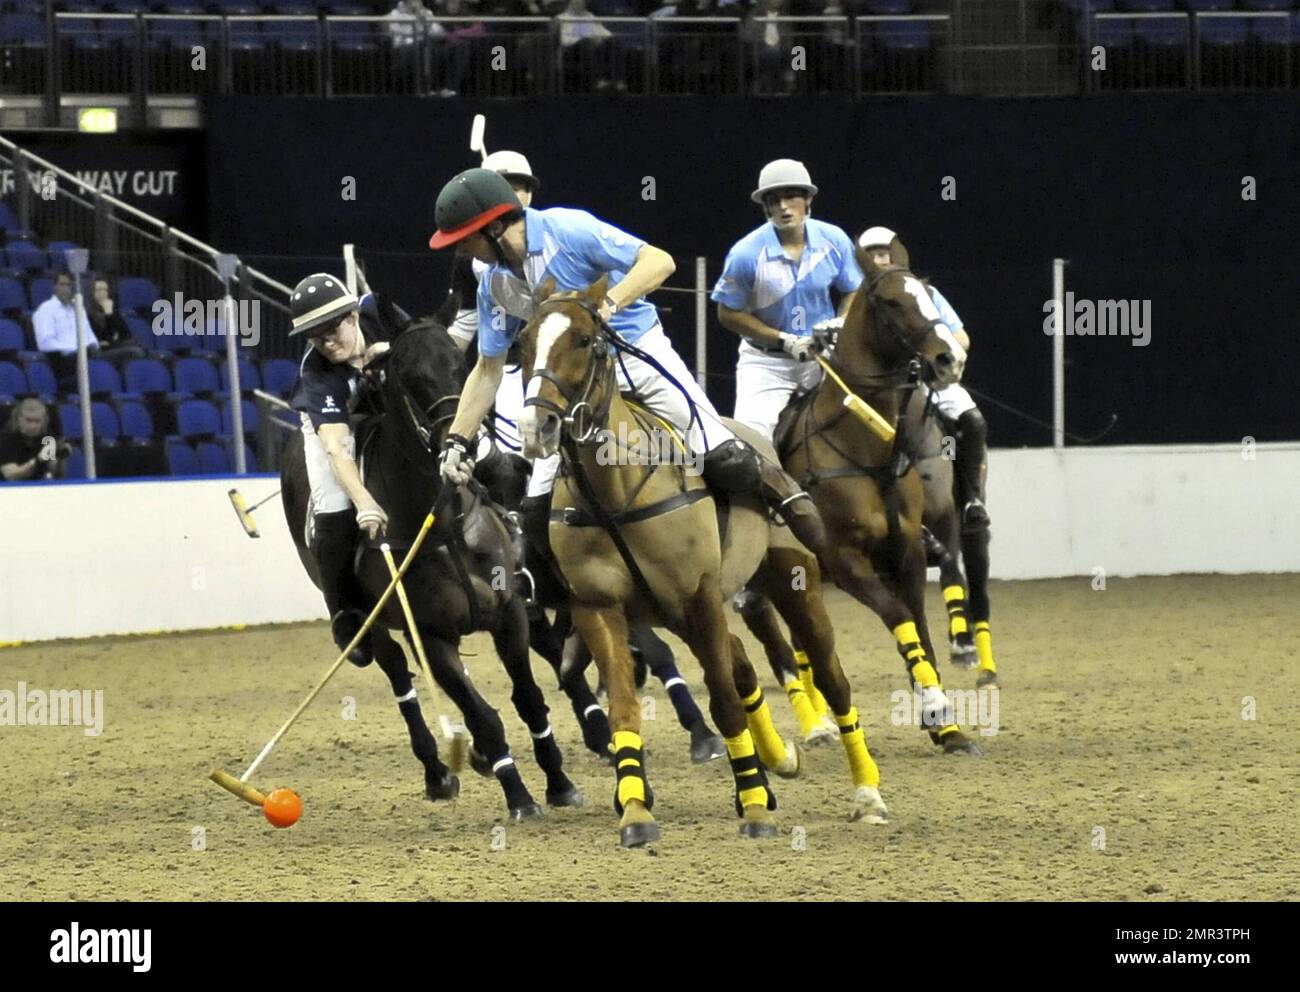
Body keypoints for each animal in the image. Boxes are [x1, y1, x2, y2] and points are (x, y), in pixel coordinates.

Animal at [287, 302, 587, 821]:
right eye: (407, 376)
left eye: (461, 366)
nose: (461, 447)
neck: (442, 525)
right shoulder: (428, 635)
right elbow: (483, 715)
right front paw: (519, 796)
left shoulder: (509, 613)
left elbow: (528, 698)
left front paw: (559, 782)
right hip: (372, 623)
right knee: (400, 680)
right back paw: (437, 771)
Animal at [522, 276, 889, 847]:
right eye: (523, 343)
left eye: (584, 340)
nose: (536, 425)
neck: (614, 495)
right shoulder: (599, 606)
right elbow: (625, 706)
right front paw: (635, 812)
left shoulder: (698, 593)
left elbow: (723, 700)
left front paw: (756, 808)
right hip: (681, 613)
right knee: (740, 660)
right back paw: (777, 763)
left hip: (790, 582)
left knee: (830, 677)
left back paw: (865, 793)